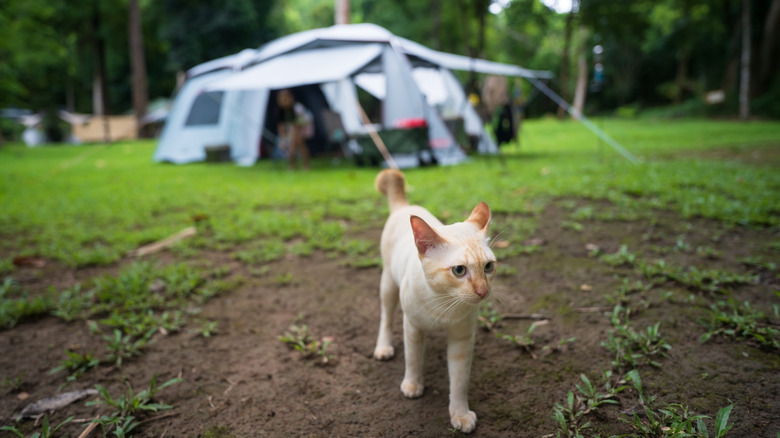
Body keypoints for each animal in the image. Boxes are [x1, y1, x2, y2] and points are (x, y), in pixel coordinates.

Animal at [370, 169, 494, 432]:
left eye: (488, 267)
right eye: (459, 270)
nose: (482, 291)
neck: (444, 304)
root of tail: (404, 206)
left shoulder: (462, 339)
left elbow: (459, 381)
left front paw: (460, 414)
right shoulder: (412, 327)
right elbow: (413, 359)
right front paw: (412, 385)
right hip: (388, 285)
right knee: (386, 317)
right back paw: (383, 347)